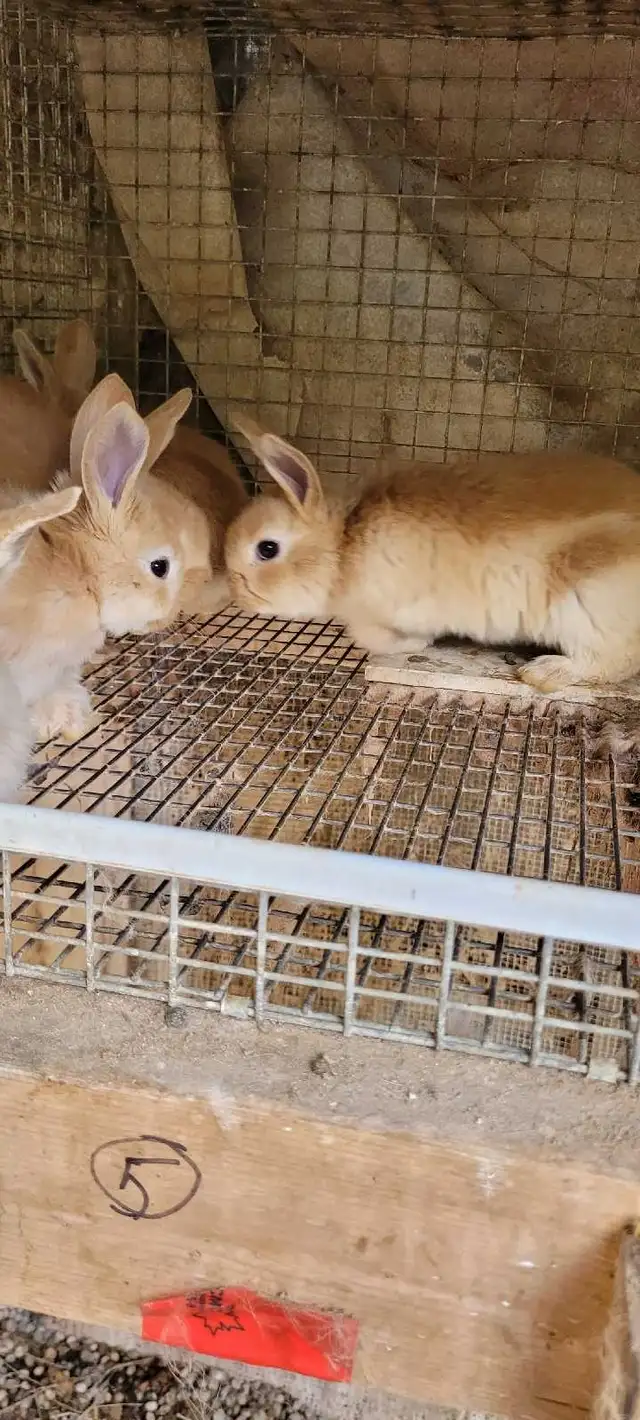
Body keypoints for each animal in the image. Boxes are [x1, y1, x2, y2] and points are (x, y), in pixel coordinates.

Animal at [225, 418, 640, 695]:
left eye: (266, 548)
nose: (238, 595)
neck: (342, 545)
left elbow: (388, 639)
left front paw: (416, 646)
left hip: (587, 606)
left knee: (610, 662)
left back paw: (545, 672)